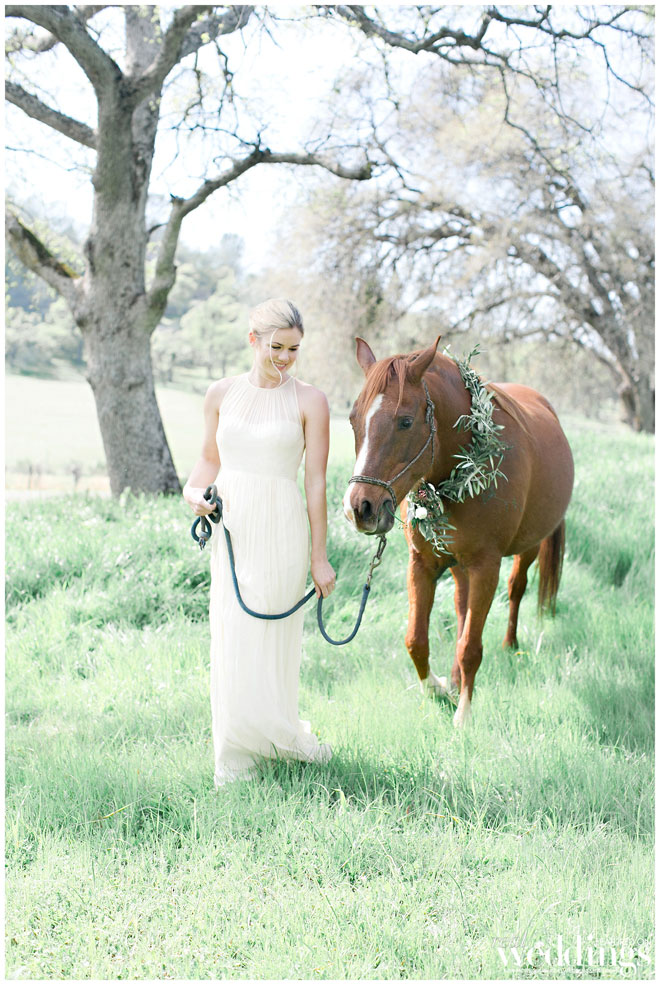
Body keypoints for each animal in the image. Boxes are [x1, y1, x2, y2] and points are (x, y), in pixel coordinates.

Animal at [343, 336, 574, 726]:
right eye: (353, 418)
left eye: (405, 421)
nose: (361, 507)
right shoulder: (423, 564)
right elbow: (416, 640)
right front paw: (438, 689)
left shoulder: (486, 566)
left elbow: (470, 646)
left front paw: (463, 715)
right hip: (458, 564)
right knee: (463, 607)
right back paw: (453, 680)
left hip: (526, 548)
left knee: (516, 589)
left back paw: (510, 646)